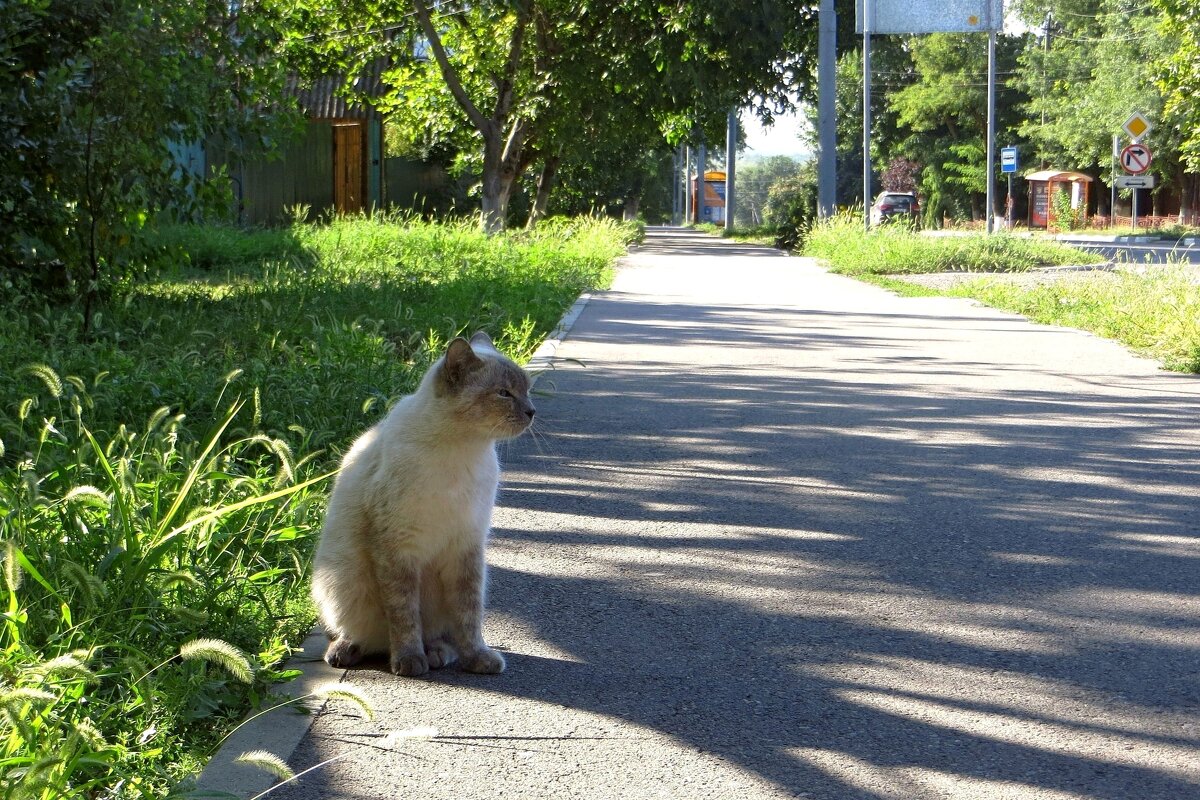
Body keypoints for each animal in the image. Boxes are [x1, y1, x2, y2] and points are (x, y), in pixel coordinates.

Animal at [309, 331, 535, 676]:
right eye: (503, 393)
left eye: (527, 390)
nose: (532, 411)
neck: (462, 450)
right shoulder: (397, 547)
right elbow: (404, 614)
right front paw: (409, 661)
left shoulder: (467, 545)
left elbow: (468, 617)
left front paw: (477, 658)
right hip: (341, 579)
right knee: (360, 633)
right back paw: (349, 651)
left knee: (440, 633)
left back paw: (438, 654)